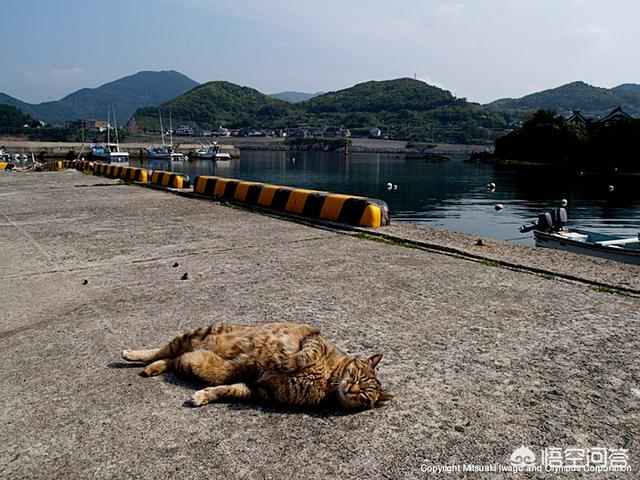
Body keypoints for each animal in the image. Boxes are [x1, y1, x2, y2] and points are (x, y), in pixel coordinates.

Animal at [119, 320, 390, 410]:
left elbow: (227, 391)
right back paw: (132, 354)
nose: (352, 390)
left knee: (173, 359)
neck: (327, 382)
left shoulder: (261, 391)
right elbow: (299, 357)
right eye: (357, 375)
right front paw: (281, 360)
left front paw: (204, 396)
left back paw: (153, 367)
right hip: (196, 335)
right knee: (163, 349)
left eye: (364, 396)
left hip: (193, 361)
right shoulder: (313, 340)